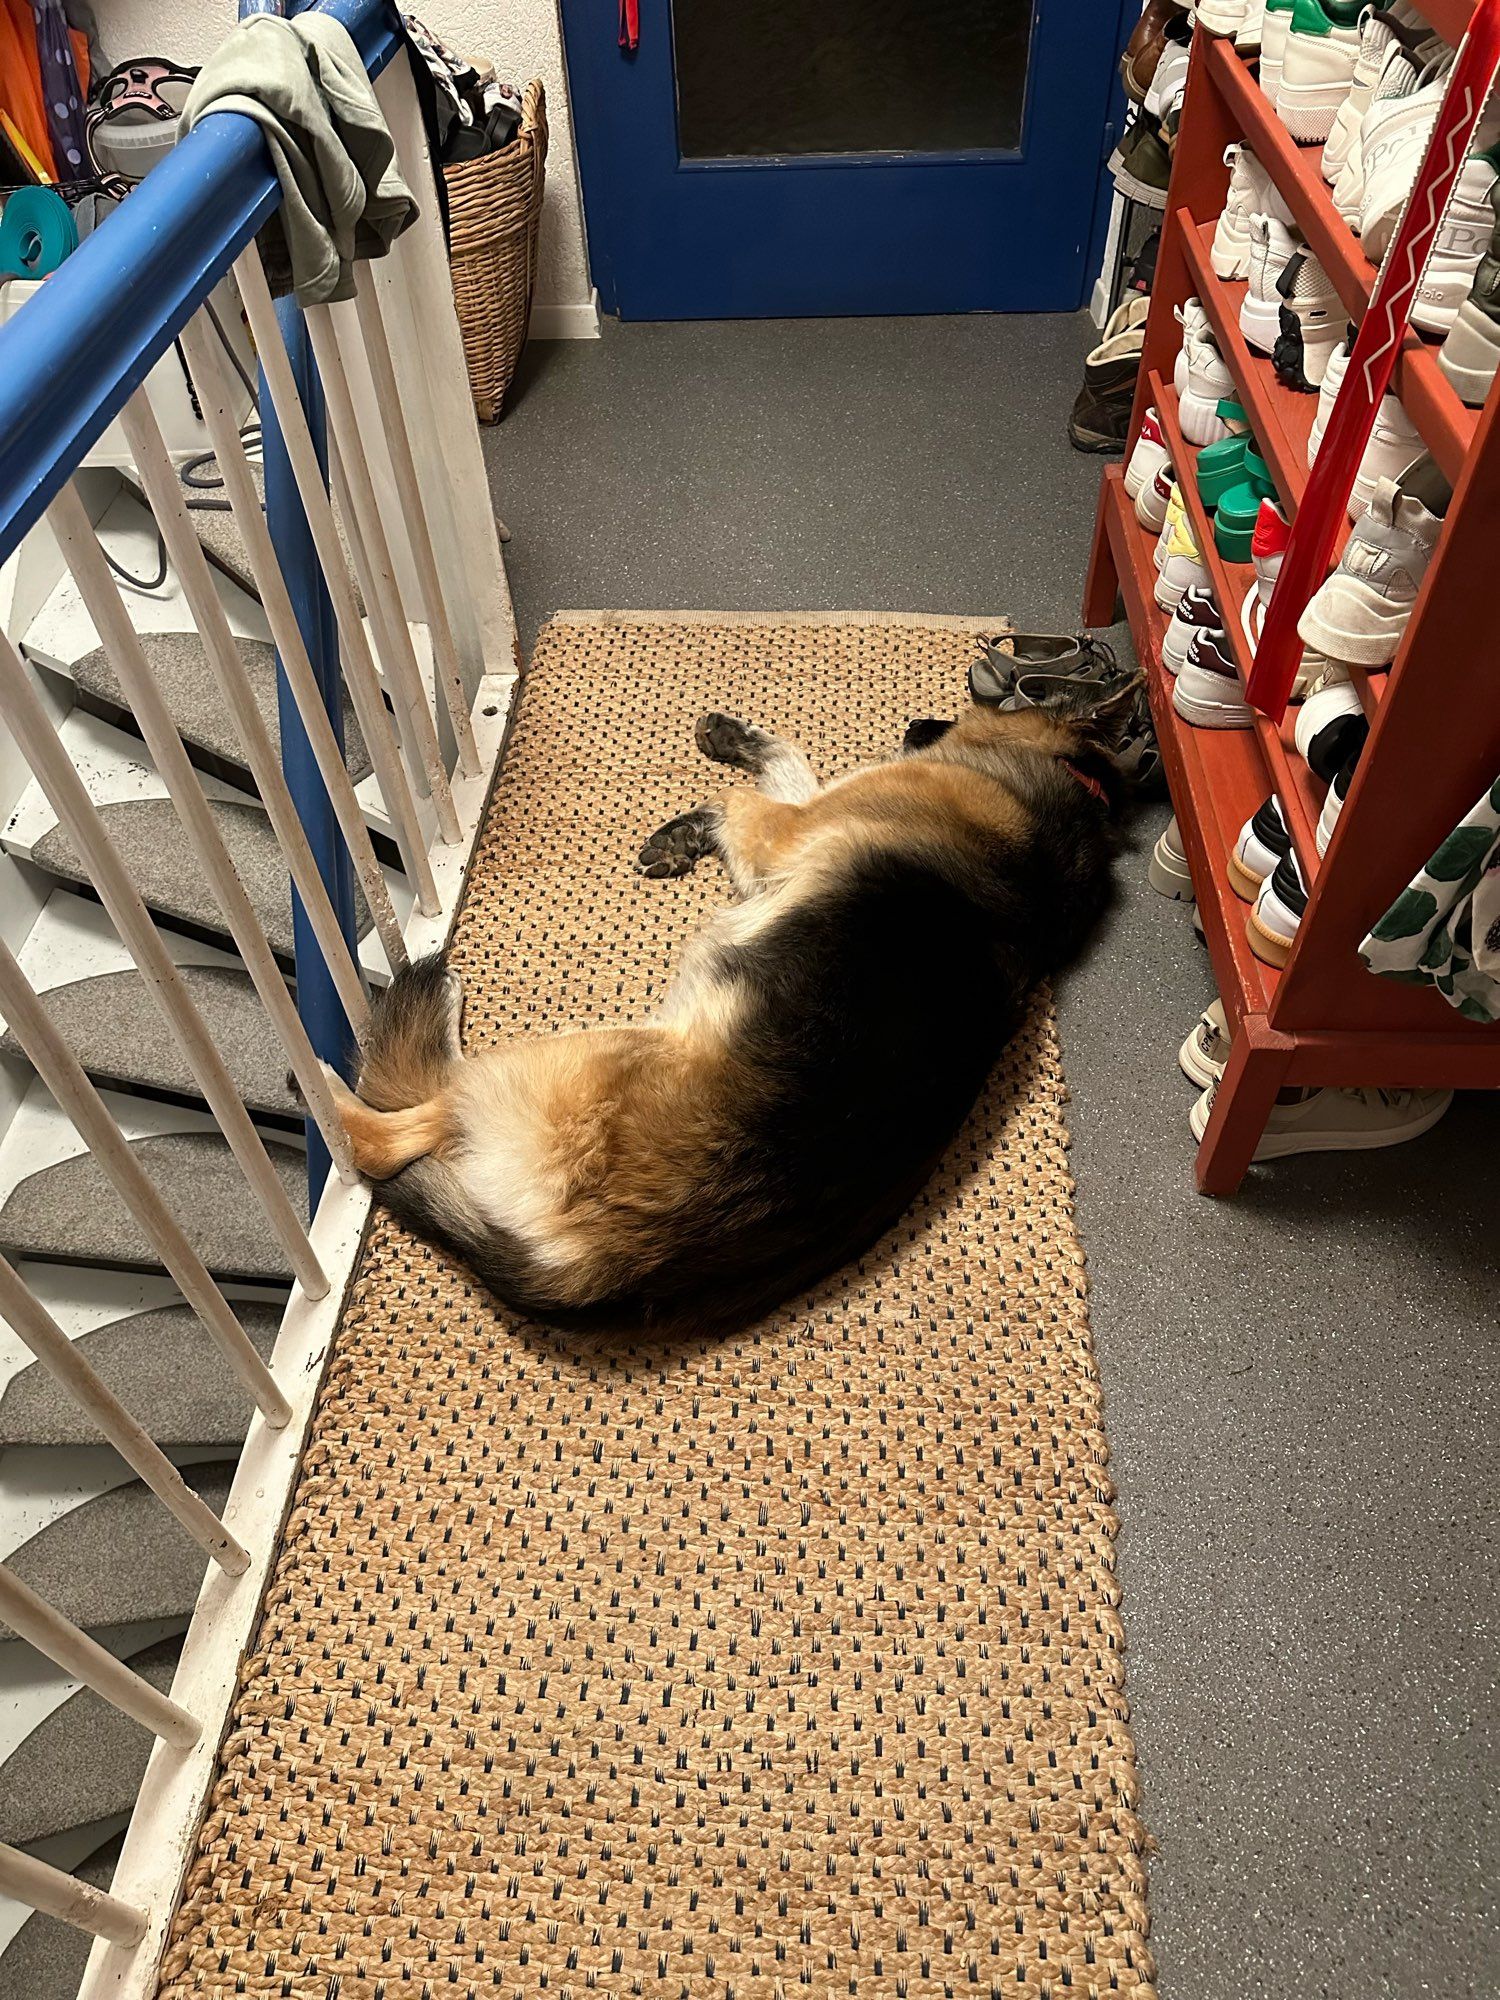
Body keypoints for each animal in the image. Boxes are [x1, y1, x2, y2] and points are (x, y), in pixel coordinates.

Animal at [320, 680, 1136, 1336]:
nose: (915, 723)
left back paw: (350, 1070)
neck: (1072, 788)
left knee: (386, 1134)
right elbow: (791, 760)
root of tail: (601, 1270)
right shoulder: (805, 811)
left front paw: (685, 827)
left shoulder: (788, 828)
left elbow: (747, 795)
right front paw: (733, 743)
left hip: (573, 1055)